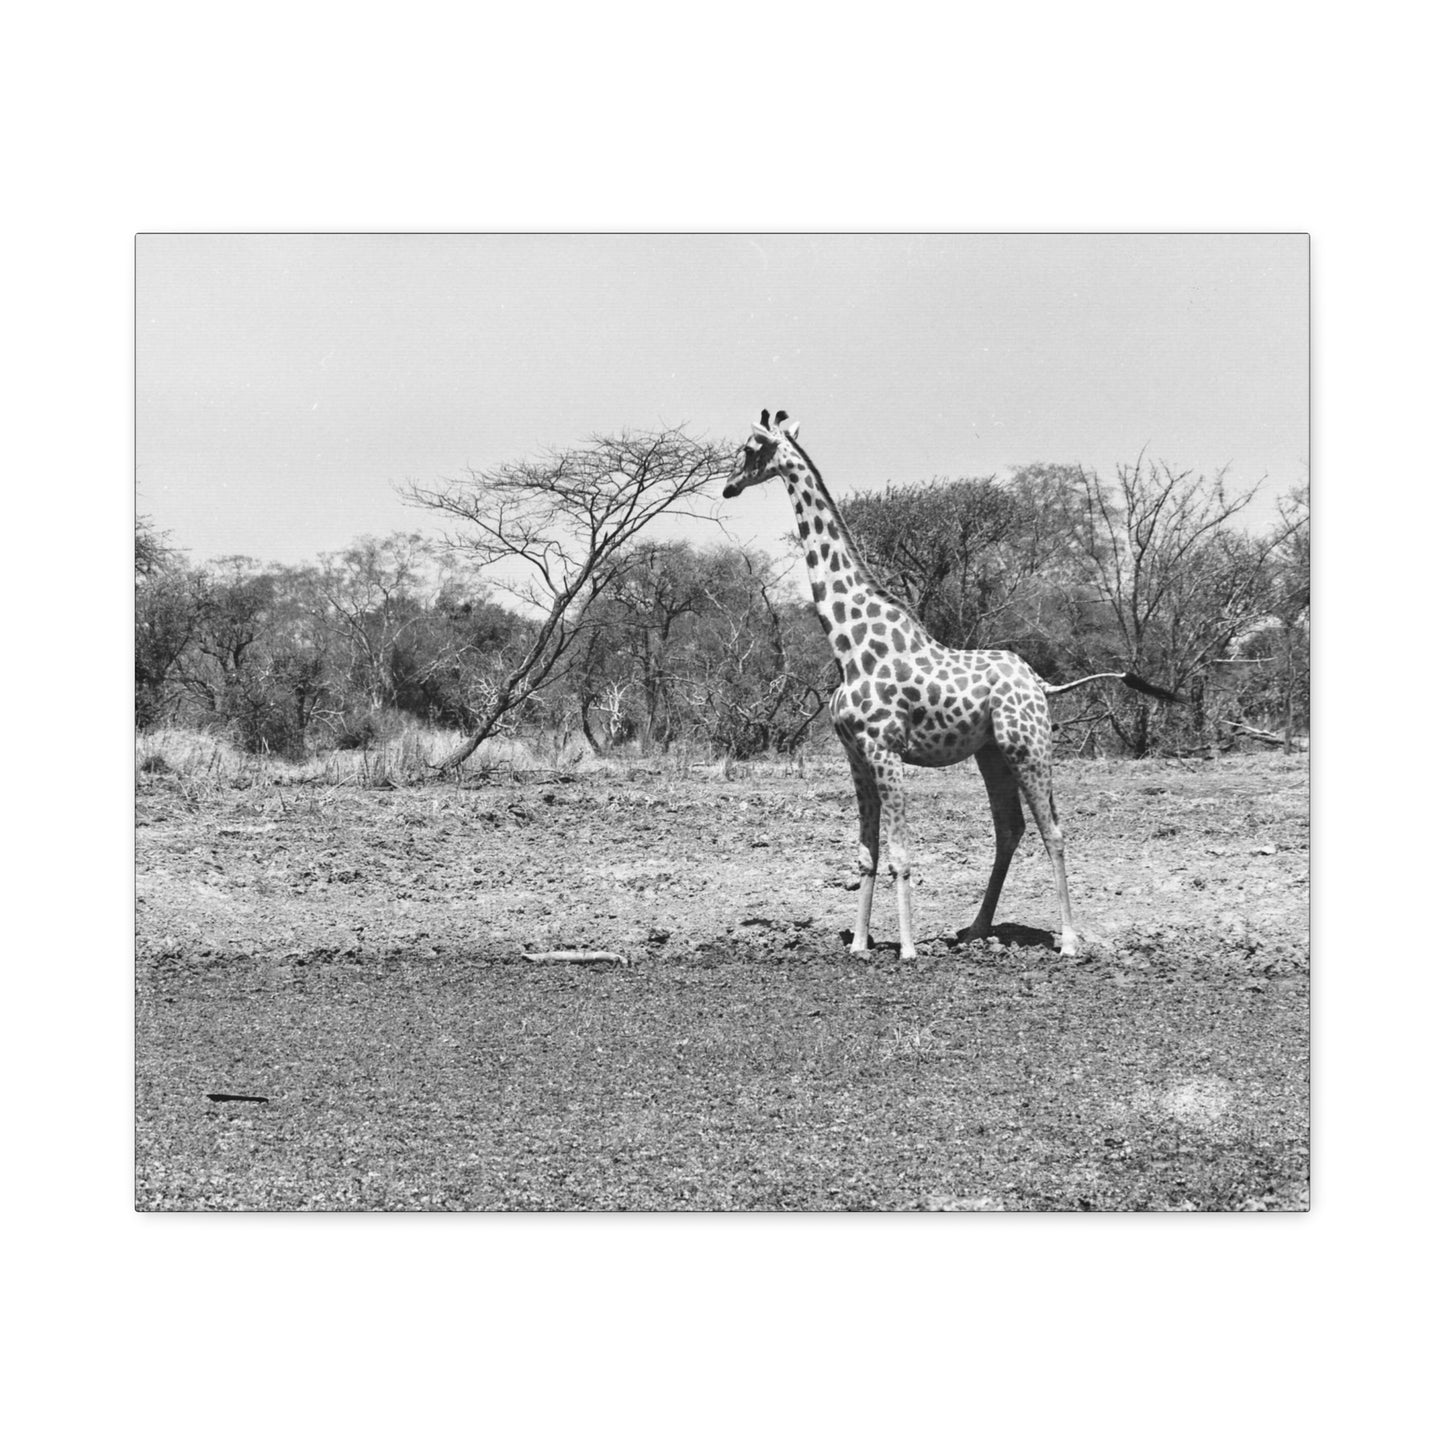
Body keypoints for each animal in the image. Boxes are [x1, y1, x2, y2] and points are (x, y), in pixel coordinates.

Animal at [721, 409, 1177, 960]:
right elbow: (866, 854)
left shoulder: (885, 752)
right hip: (993, 753)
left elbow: (900, 854)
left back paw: (1068, 940)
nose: (728, 487)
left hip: (1029, 745)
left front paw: (907, 949)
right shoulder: (856, 756)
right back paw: (976, 929)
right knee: (1010, 828)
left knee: (1054, 830)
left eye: (750, 448)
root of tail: (1041, 684)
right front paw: (859, 944)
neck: (848, 646)